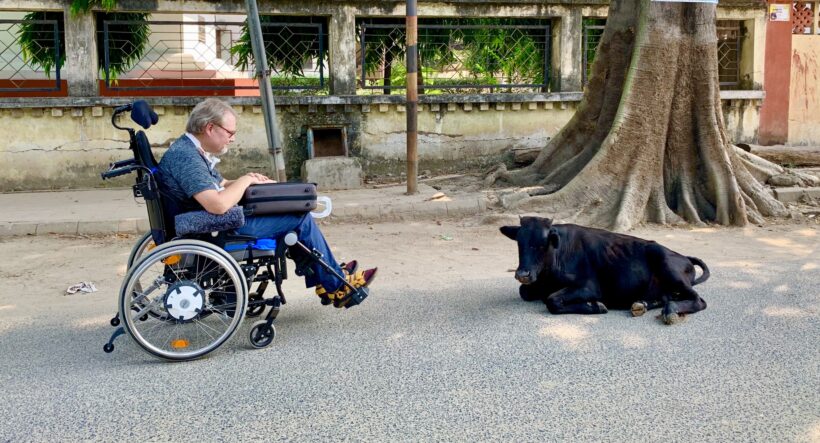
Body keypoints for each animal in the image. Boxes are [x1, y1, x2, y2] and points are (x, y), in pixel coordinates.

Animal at [500, 217, 712, 324]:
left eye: (543, 244)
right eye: (519, 242)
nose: (522, 274)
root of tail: (684, 257)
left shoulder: (590, 286)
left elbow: (552, 300)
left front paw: (595, 306)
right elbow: (524, 291)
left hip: (667, 264)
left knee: (698, 301)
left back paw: (671, 311)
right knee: (666, 297)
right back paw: (641, 304)